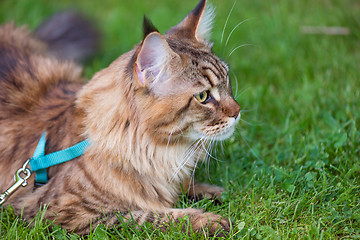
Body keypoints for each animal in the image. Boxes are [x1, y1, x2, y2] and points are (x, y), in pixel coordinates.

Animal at [0, 0, 242, 236]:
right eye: (203, 96)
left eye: (227, 81)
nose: (237, 111)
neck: (157, 151)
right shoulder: (60, 212)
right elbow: (149, 216)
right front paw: (208, 221)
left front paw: (215, 192)